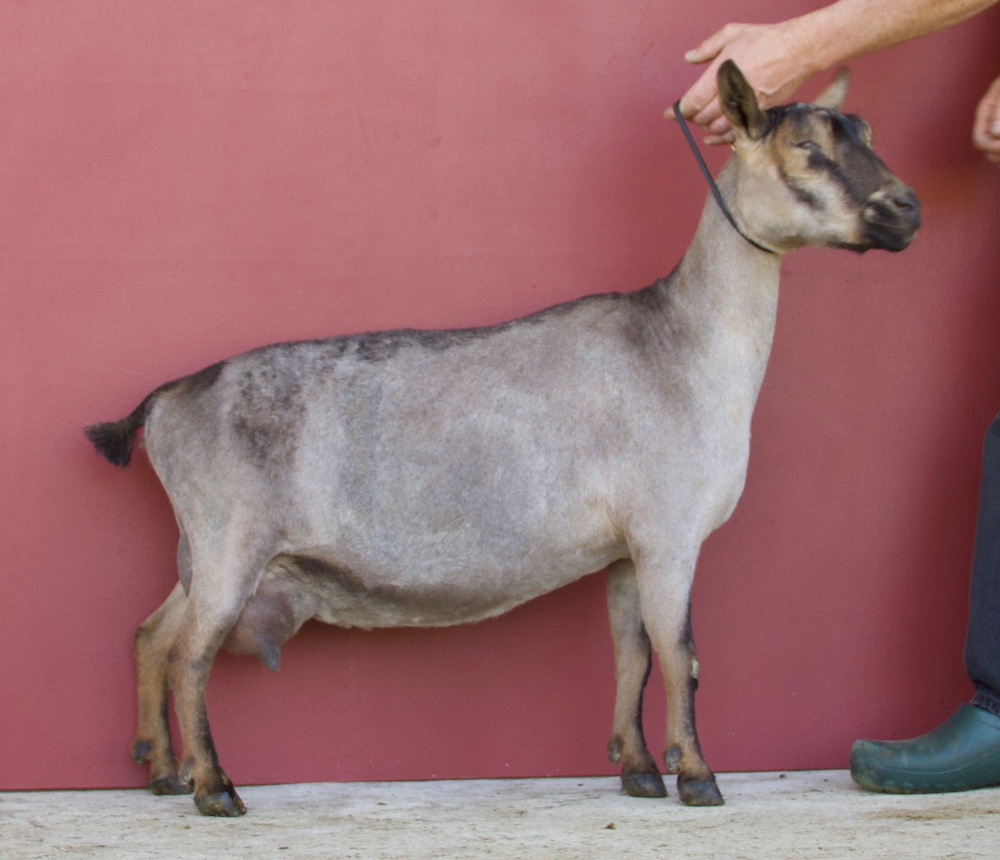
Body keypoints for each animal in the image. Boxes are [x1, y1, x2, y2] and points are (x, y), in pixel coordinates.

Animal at [86, 63, 920, 816]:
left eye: (867, 133)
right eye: (805, 146)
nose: (905, 207)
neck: (683, 344)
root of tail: (166, 401)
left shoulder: (625, 550)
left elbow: (632, 653)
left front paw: (639, 770)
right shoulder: (669, 531)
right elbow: (680, 654)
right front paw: (698, 777)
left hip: (205, 550)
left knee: (151, 635)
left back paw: (161, 768)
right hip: (230, 538)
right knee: (191, 655)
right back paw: (214, 787)